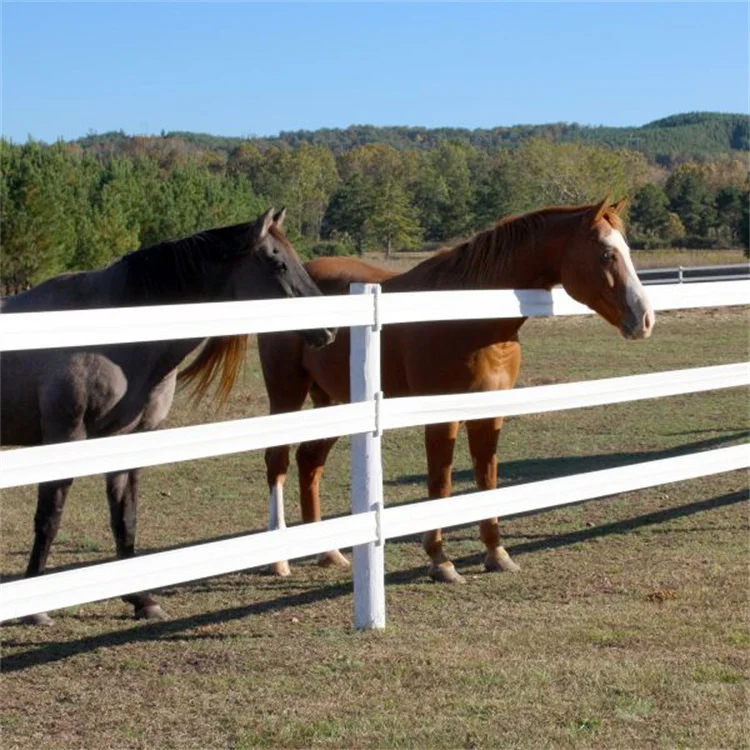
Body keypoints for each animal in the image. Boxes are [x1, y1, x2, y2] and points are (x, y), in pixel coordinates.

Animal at [1, 207, 335, 625]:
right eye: (277, 261)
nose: (329, 329)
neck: (110, 335)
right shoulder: (65, 435)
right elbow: (49, 518)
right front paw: (35, 608)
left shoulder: (130, 439)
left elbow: (125, 518)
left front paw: (142, 600)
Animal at [257, 198, 655, 582]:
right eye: (607, 254)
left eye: (626, 249)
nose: (645, 319)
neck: (471, 317)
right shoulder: (441, 418)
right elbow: (441, 486)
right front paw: (440, 562)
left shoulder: (490, 413)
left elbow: (487, 480)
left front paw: (497, 554)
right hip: (286, 393)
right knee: (277, 461)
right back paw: (279, 561)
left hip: (334, 400)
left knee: (310, 461)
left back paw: (328, 552)